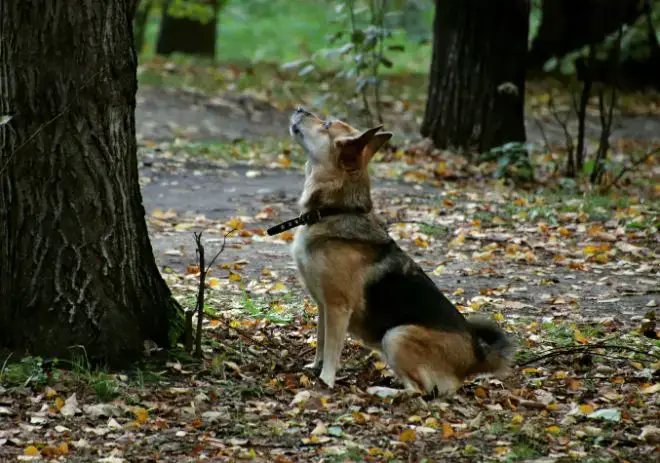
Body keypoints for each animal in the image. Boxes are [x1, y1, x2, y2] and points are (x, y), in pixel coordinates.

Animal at [268, 107, 516, 396]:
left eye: (327, 125)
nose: (299, 109)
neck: (335, 210)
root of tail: (475, 358)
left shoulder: (338, 307)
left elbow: (332, 350)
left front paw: (326, 380)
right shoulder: (323, 306)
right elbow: (321, 342)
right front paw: (314, 368)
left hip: (396, 335)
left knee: (421, 391)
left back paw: (383, 391)